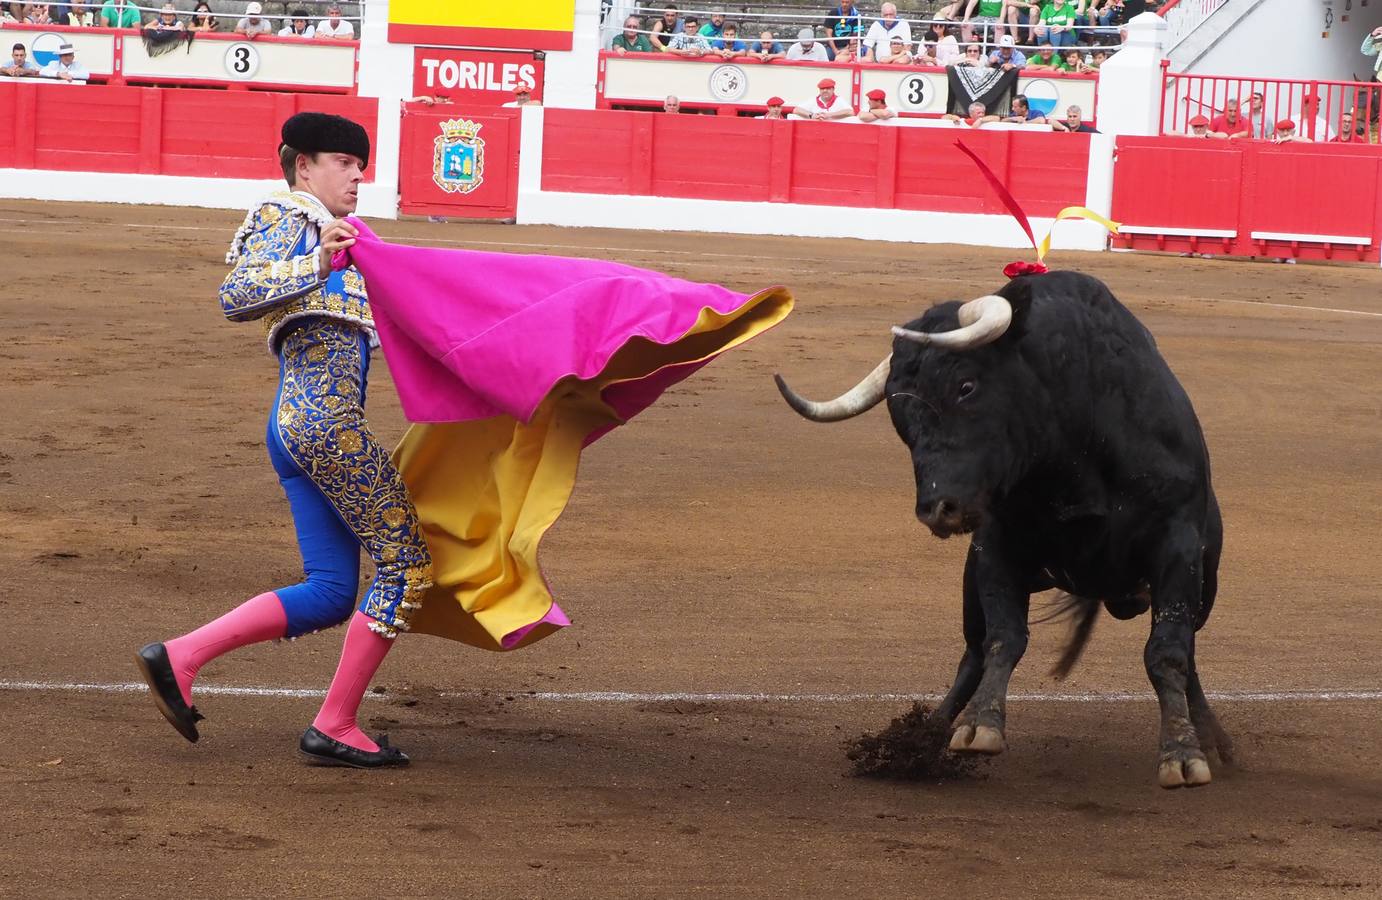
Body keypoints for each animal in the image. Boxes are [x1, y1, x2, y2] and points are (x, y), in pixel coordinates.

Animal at [773, 269, 1238, 790]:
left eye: (966, 385)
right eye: (897, 412)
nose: (939, 509)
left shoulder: (1177, 547)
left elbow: (1168, 652)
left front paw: (1182, 752)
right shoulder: (995, 547)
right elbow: (1003, 637)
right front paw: (979, 726)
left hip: (1204, 584)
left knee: (1188, 652)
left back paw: (1213, 739)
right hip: (974, 576)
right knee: (972, 652)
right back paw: (925, 738)